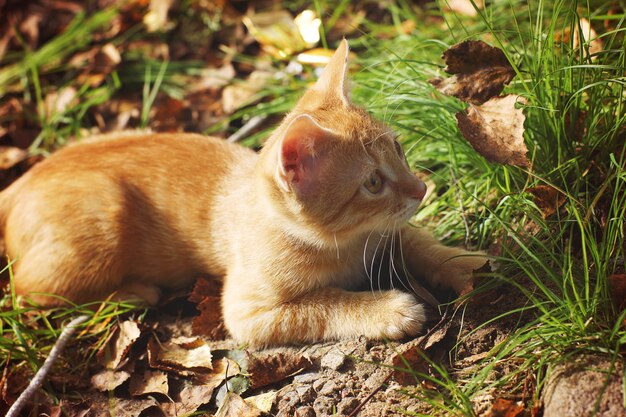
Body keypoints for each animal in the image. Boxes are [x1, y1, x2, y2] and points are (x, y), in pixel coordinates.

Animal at [0, 40, 486, 344]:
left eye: (399, 150)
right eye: (372, 182)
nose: (421, 188)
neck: (343, 244)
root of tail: (20, 182)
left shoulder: (389, 234)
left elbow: (421, 242)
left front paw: (466, 261)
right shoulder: (247, 313)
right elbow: (324, 304)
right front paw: (386, 310)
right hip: (103, 218)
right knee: (28, 293)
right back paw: (133, 293)